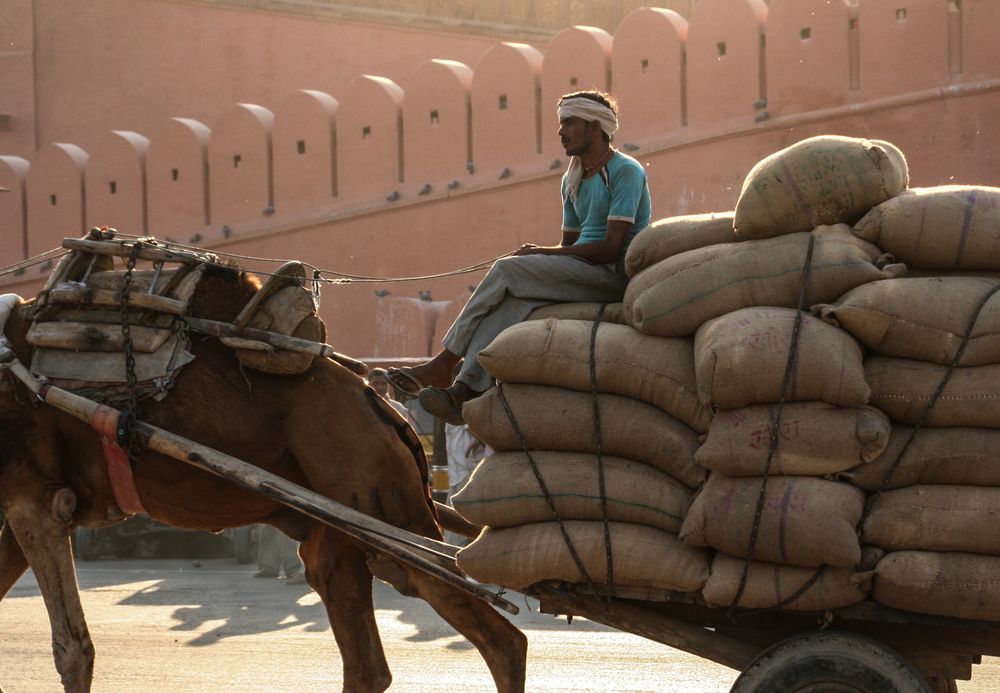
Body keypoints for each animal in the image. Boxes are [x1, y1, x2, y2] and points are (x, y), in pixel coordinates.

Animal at [0, 260, 532, 692]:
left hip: (381, 497)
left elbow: (73, 649)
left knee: (501, 637)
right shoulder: (21, 506)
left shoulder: (38, 501)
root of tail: (384, 407)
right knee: (367, 658)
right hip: (344, 522)